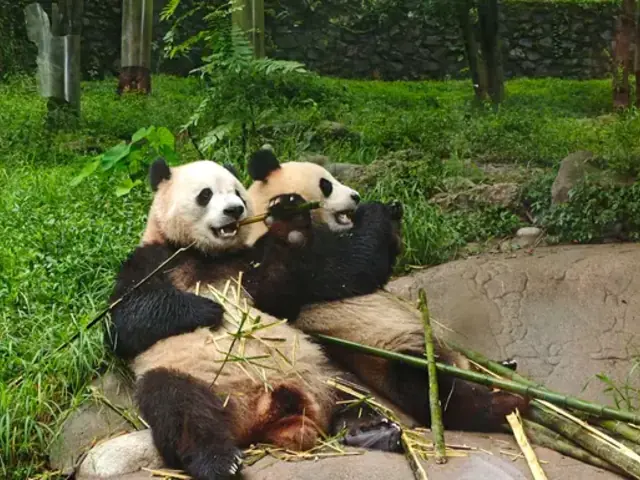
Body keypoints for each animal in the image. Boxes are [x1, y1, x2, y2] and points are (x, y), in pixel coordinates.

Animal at [106, 158, 410, 480]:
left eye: (237, 193)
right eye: (206, 194)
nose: (234, 210)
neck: (207, 254)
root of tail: (265, 413)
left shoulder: (247, 262)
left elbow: (280, 291)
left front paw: (291, 224)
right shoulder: (152, 259)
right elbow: (125, 322)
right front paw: (209, 308)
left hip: (317, 369)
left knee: (348, 390)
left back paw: (370, 429)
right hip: (192, 376)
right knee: (179, 408)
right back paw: (218, 461)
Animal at [246, 148, 529, 433]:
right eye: (326, 184)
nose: (356, 196)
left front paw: (393, 213)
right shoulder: (288, 257)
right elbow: (348, 267)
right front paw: (378, 210)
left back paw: (503, 369)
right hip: (388, 354)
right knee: (432, 391)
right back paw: (504, 403)